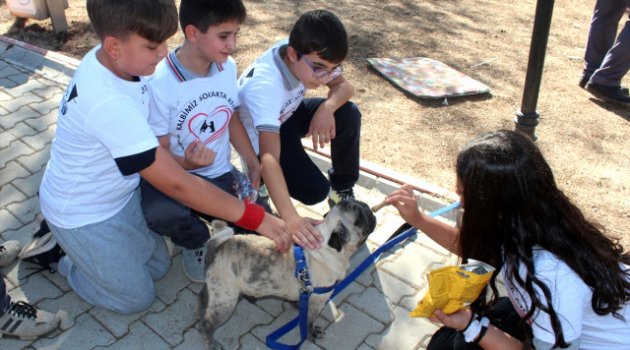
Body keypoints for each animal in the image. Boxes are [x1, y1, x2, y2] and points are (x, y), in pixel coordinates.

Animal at [199, 198, 376, 348]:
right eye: (360, 220)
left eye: (362, 206)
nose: (369, 209)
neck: (326, 246)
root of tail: (217, 247)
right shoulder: (317, 303)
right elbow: (308, 323)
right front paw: (311, 334)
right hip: (225, 302)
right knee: (207, 325)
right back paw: (211, 343)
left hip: (219, 293)